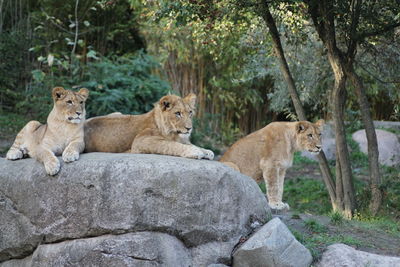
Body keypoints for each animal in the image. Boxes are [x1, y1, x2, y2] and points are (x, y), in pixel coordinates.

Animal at [84, 94, 214, 161]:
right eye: (178, 113)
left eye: (190, 112)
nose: (189, 128)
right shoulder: (141, 141)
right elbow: (171, 145)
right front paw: (195, 151)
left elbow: (189, 143)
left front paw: (206, 151)